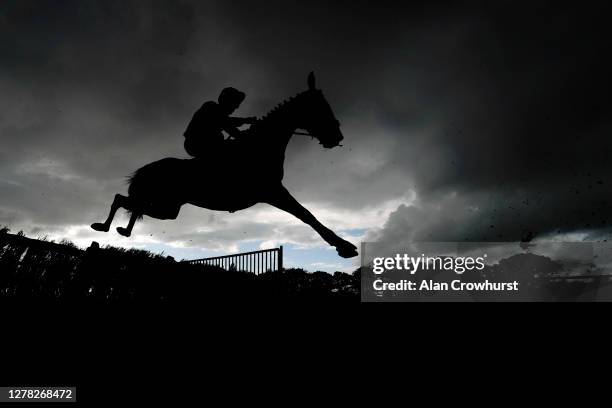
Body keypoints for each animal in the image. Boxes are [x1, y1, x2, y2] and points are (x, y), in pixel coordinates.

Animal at [92, 73, 358, 258]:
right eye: (320, 108)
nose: (337, 137)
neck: (262, 146)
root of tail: (147, 169)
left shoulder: (273, 192)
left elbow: (307, 214)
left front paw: (342, 245)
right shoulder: (273, 191)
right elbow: (307, 215)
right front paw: (344, 246)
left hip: (168, 208)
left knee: (132, 204)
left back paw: (120, 230)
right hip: (164, 204)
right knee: (123, 200)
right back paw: (105, 226)